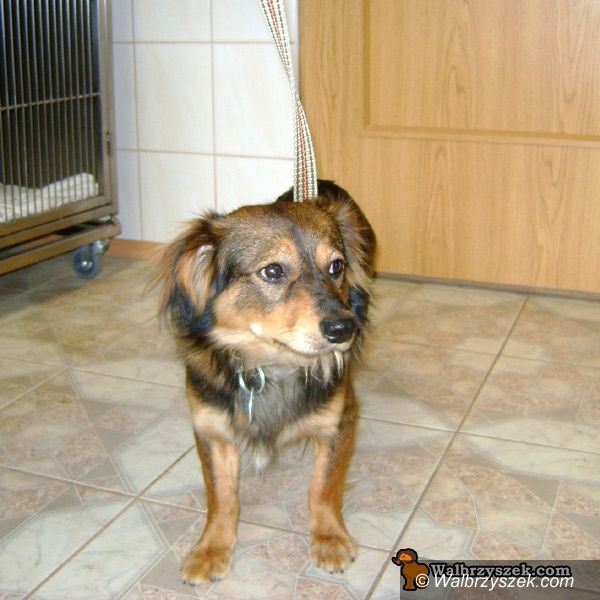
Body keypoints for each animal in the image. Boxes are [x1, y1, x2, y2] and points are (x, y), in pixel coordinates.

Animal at [159, 180, 376, 583]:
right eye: (273, 271)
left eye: (336, 266)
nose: (344, 328)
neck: (268, 365)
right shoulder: (211, 428)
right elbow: (221, 495)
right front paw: (212, 547)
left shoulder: (340, 420)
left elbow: (324, 486)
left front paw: (329, 538)